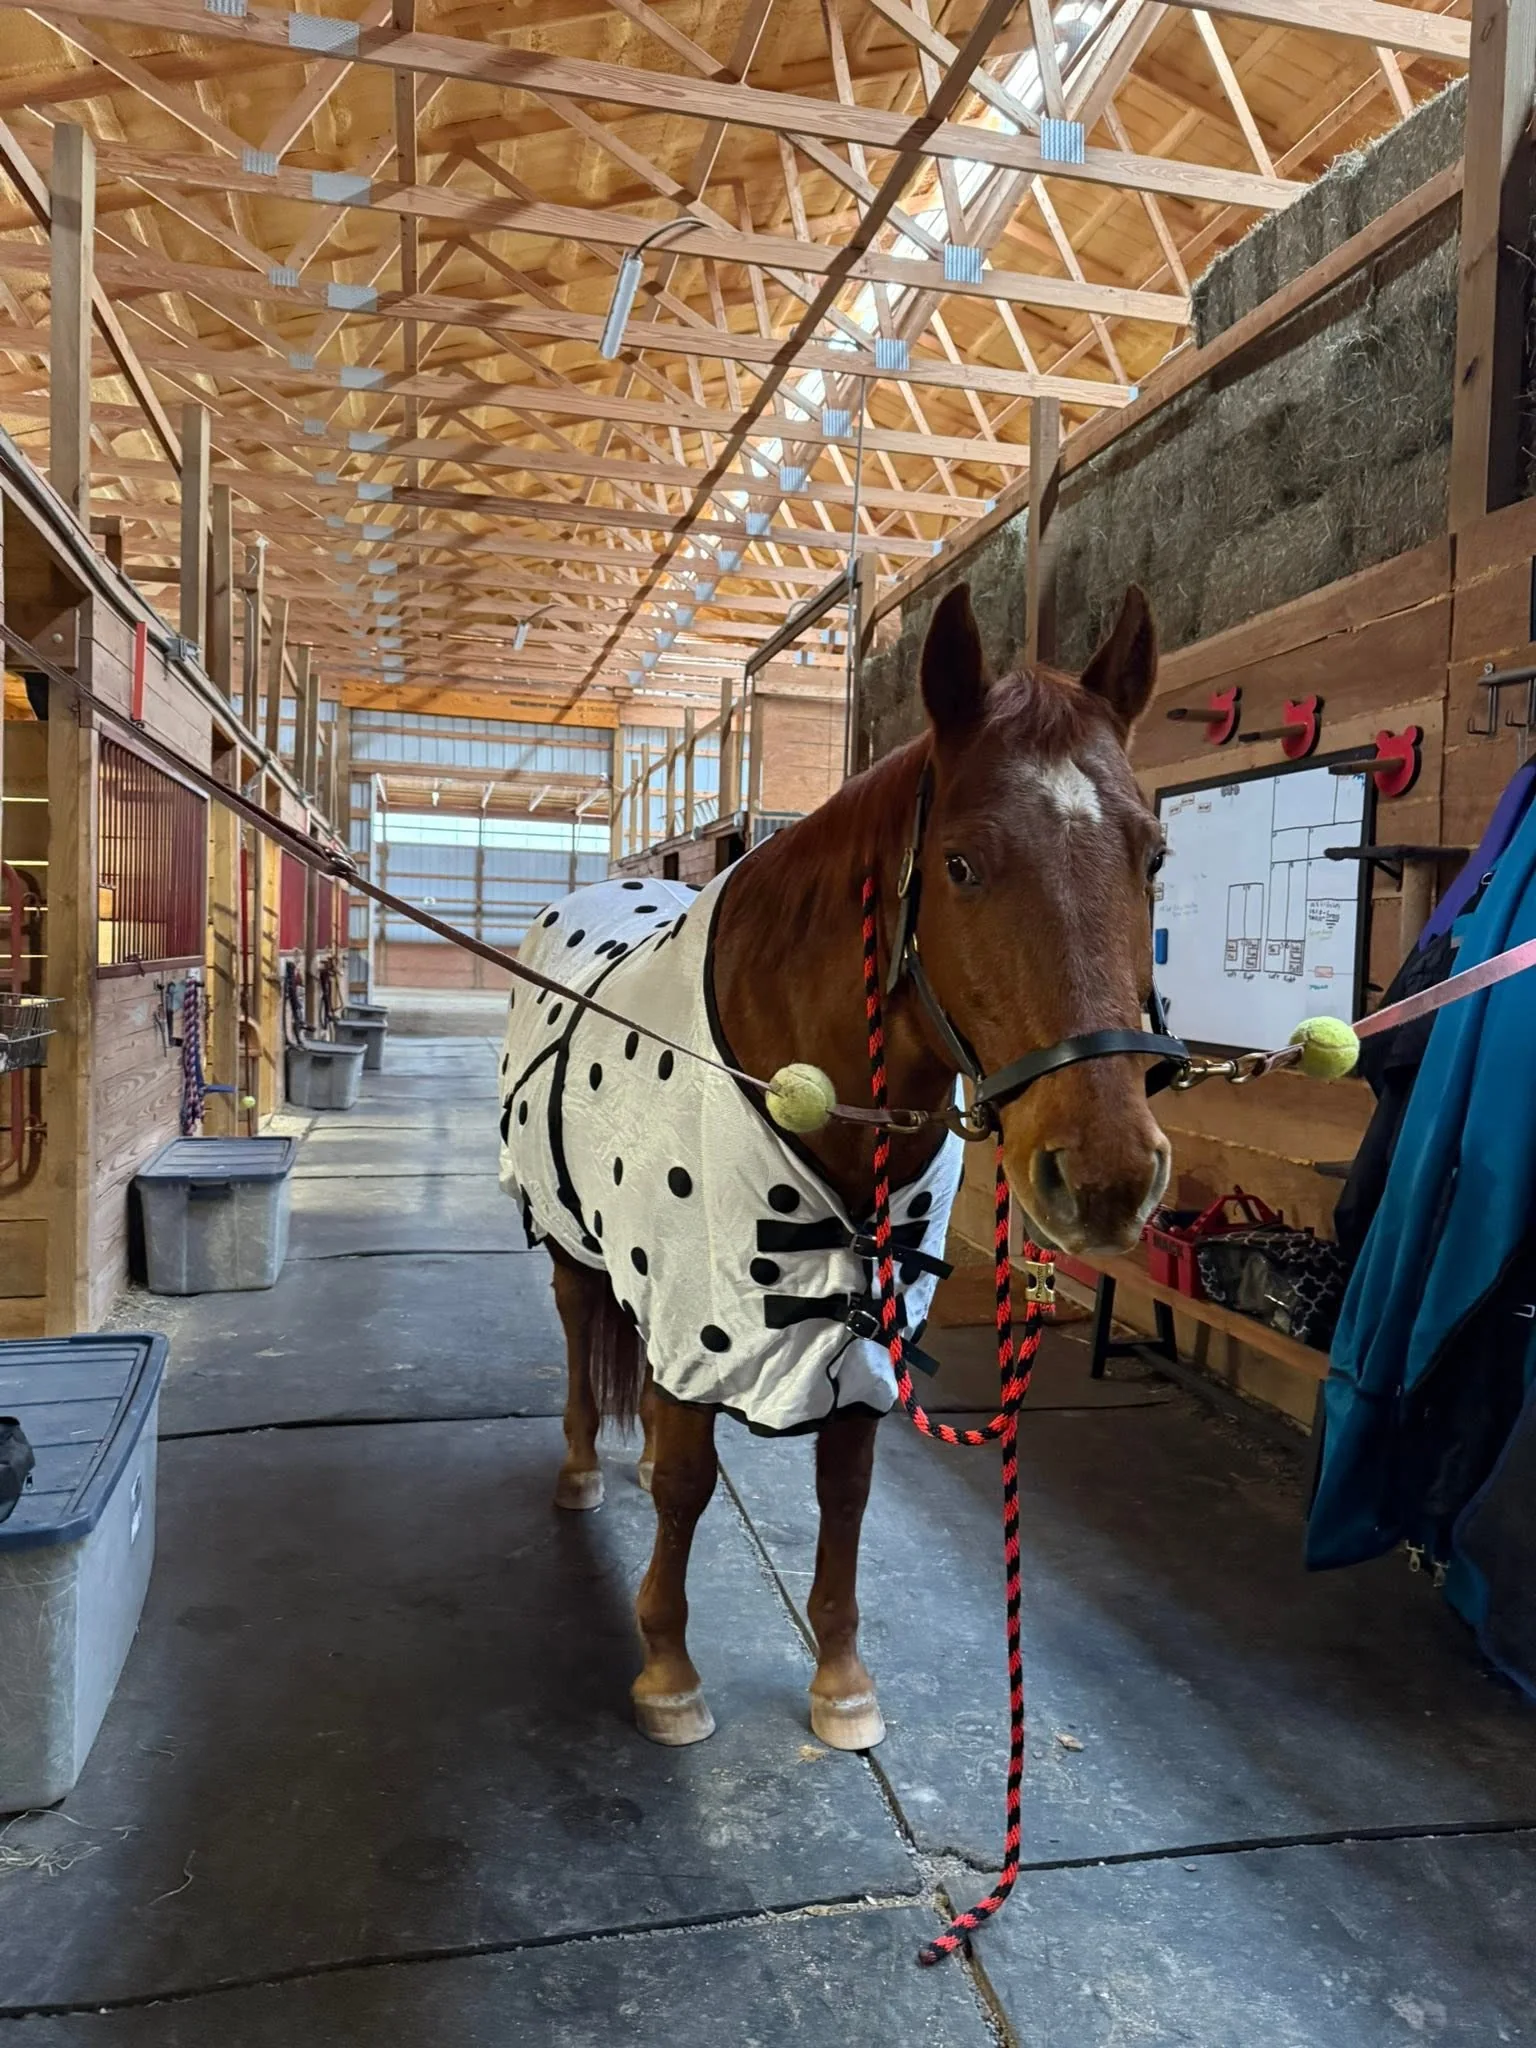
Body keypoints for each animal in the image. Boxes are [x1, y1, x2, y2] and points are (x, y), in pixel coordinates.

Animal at [499, 581, 1172, 1751]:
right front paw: (667, 1667)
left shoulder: (866, 1331)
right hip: (574, 1241)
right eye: (961, 865)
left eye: (1153, 856)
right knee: (584, 1330)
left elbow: (846, 1489)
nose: (1105, 1176)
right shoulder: (698, 1302)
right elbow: (689, 1481)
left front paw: (842, 1678)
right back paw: (584, 1465)